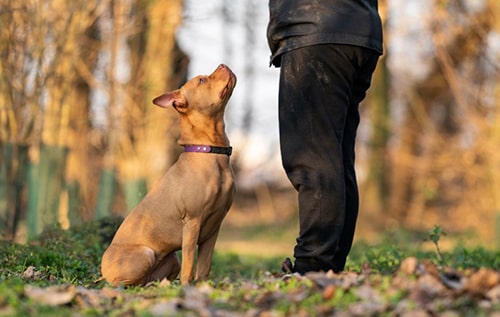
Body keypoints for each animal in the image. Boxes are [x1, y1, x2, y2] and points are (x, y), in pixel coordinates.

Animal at [100, 63, 237, 284]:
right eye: (201, 80)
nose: (223, 65)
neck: (210, 152)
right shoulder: (192, 222)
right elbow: (190, 266)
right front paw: (187, 287)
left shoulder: (213, 230)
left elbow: (204, 267)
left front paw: (202, 287)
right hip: (146, 254)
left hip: (172, 259)